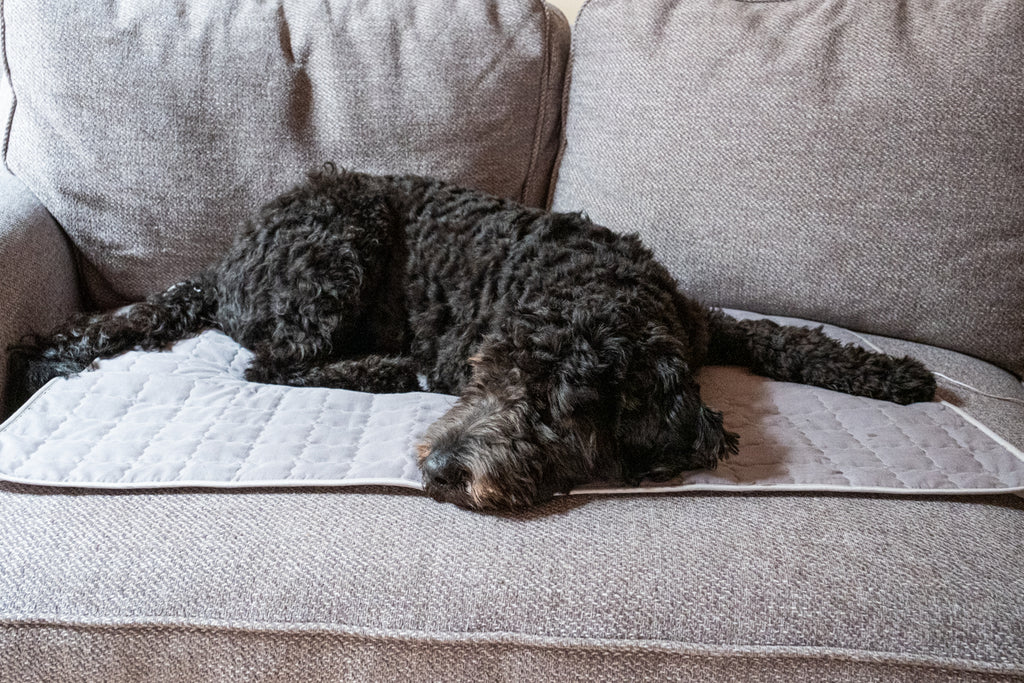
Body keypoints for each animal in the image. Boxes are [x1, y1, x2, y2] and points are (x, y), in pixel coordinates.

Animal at [8, 165, 937, 507]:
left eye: (565, 410)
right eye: (486, 375)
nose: (442, 468)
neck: (595, 289)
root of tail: (226, 262)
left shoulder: (702, 321)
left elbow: (791, 340)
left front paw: (894, 373)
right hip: (335, 245)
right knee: (271, 364)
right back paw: (389, 365)